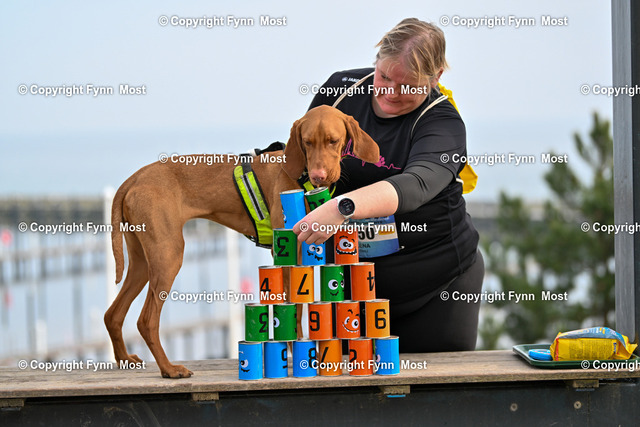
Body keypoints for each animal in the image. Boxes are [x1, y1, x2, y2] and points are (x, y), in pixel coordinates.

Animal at [104, 105, 380, 378]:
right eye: (307, 142)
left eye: (333, 141)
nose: (318, 176)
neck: (300, 175)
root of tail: (134, 178)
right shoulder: (285, 253)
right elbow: (292, 307)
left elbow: (298, 306)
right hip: (168, 256)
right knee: (146, 321)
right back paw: (169, 369)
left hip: (142, 262)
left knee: (113, 314)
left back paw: (125, 359)